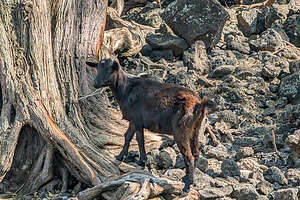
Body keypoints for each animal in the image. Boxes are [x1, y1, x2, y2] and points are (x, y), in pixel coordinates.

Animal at [86, 57, 207, 192]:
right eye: (97, 68)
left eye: (110, 69)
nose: (95, 83)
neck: (126, 89)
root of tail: (199, 104)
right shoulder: (133, 119)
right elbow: (128, 136)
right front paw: (121, 156)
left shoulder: (137, 119)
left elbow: (139, 139)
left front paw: (140, 160)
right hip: (195, 128)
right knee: (196, 153)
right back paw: (188, 179)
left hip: (181, 129)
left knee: (188, 156)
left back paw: (187, 186)